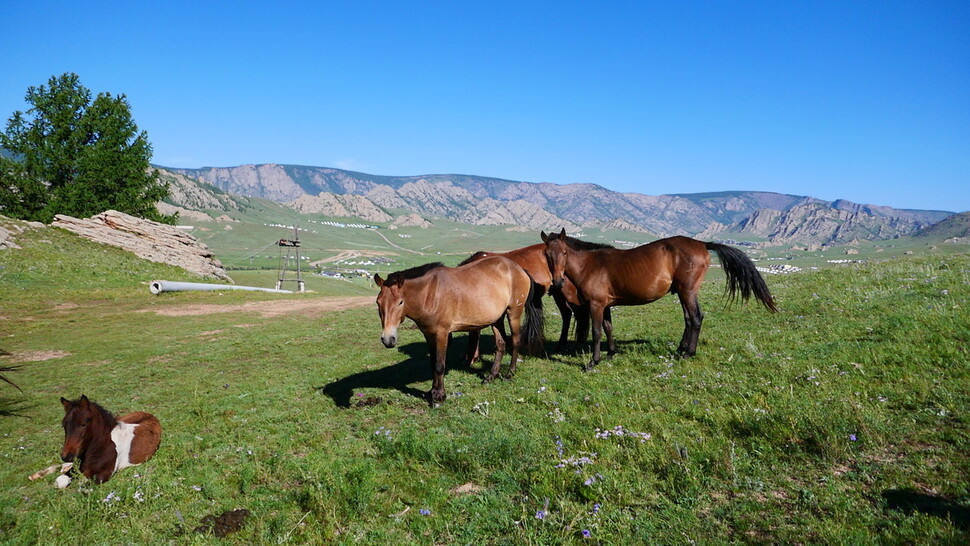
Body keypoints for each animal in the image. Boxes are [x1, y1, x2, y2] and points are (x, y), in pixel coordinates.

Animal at [372, 255, 540, 404]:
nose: (388, 339)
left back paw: (509, 373)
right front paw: (432, 391)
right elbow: (433, 363)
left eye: (400, 302)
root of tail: (519, 269)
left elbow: (440, 365)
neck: (430, 293)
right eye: (378, 302)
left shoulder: (442, 333)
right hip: (497, 319)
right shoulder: (429, 334)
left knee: (516, 342)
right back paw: (491, 376)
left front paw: (440, 396)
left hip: (513, 314)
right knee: (500, 345)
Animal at [540, 227, 776, 368]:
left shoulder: (596, 305)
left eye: (564, 253)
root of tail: (702, 243)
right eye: (546, 254)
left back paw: (688, 353)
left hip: (688, 291)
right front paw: (611, 354)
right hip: (682, 292)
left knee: (696, 318)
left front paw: (593, 362)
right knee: (689, 319)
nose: (557, 282)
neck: (590, 265)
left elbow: (597, 332)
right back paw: (680, 350)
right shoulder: (606, 305)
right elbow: (608, 328)